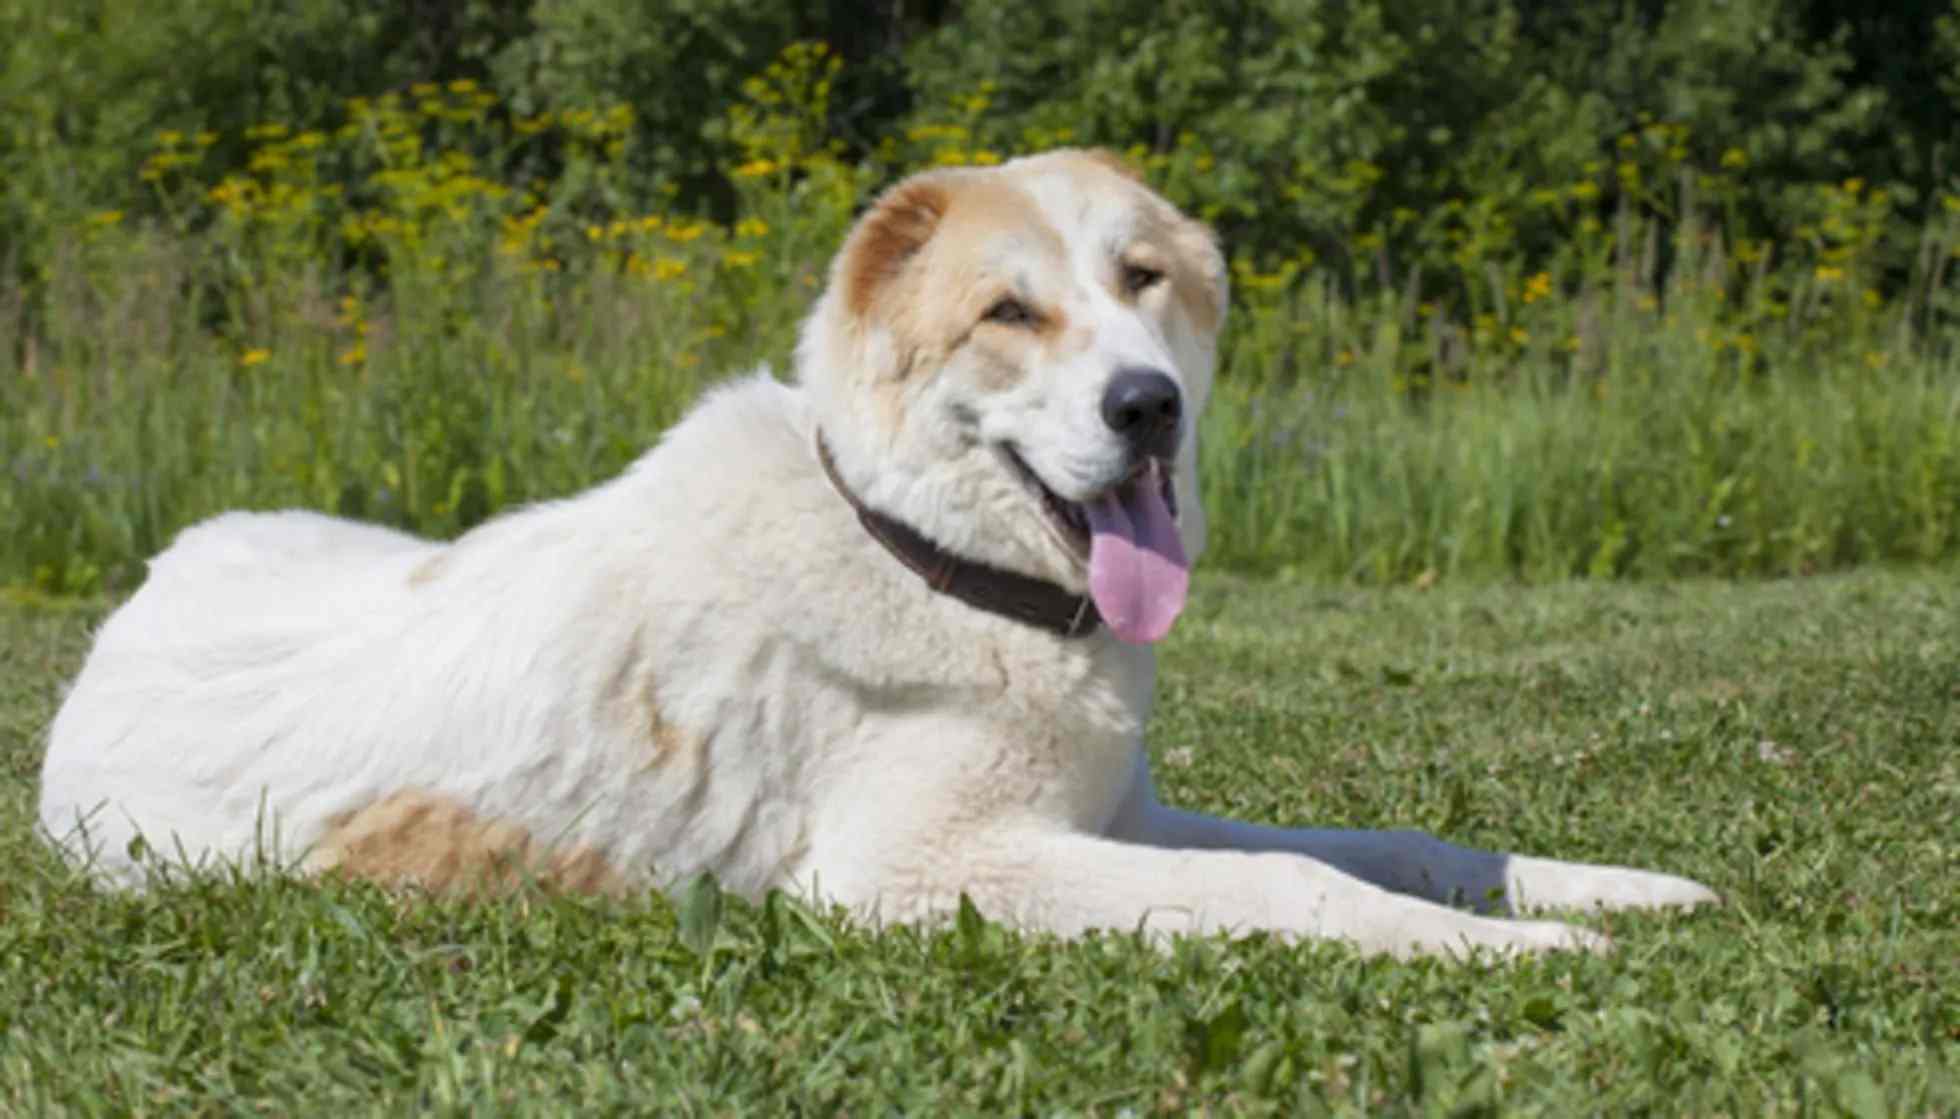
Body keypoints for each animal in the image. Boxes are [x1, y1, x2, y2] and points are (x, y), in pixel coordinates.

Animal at [34, 146, 1716, 956]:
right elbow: (1308, 887)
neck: (928, 561)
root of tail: (127, 612)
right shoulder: (932, 869)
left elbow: (1397, 842)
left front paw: (1610, 887)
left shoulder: (1115, 819)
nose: (1148, 405)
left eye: (1143, 280)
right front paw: (1525, 953)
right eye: (1009, 312)